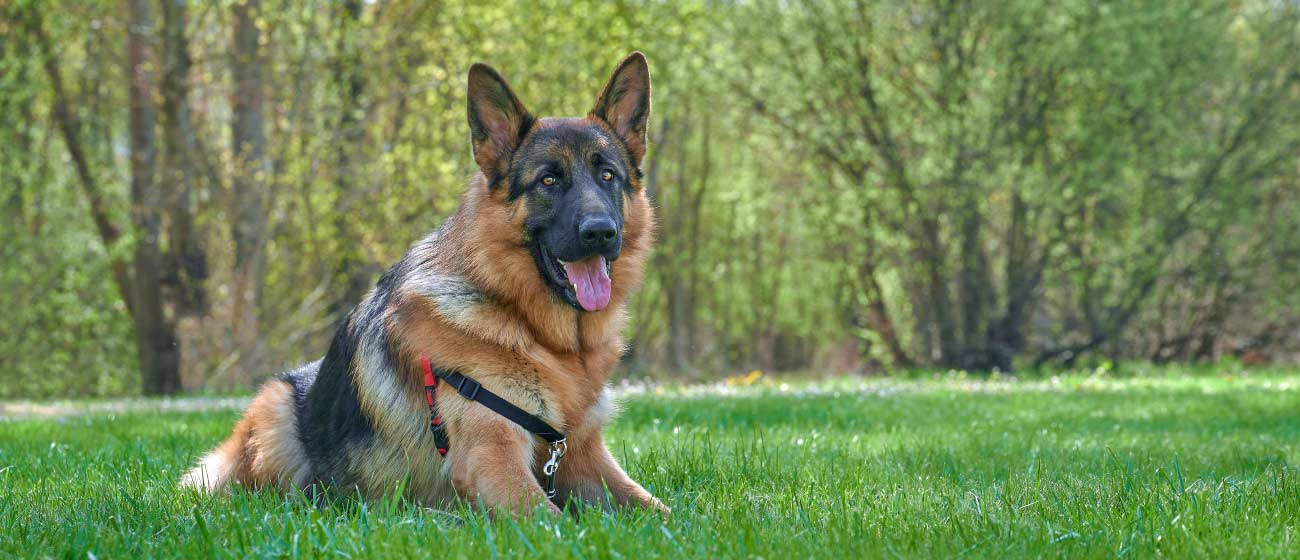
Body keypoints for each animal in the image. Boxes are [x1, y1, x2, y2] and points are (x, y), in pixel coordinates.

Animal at [183, 52, 665, 517]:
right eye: (549, 179)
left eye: (607, 176)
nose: (600, 232)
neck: (543, 336)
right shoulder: (493, 456)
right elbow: (554, 523)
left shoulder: (583, 457)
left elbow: (661, 513)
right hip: (274, 408)